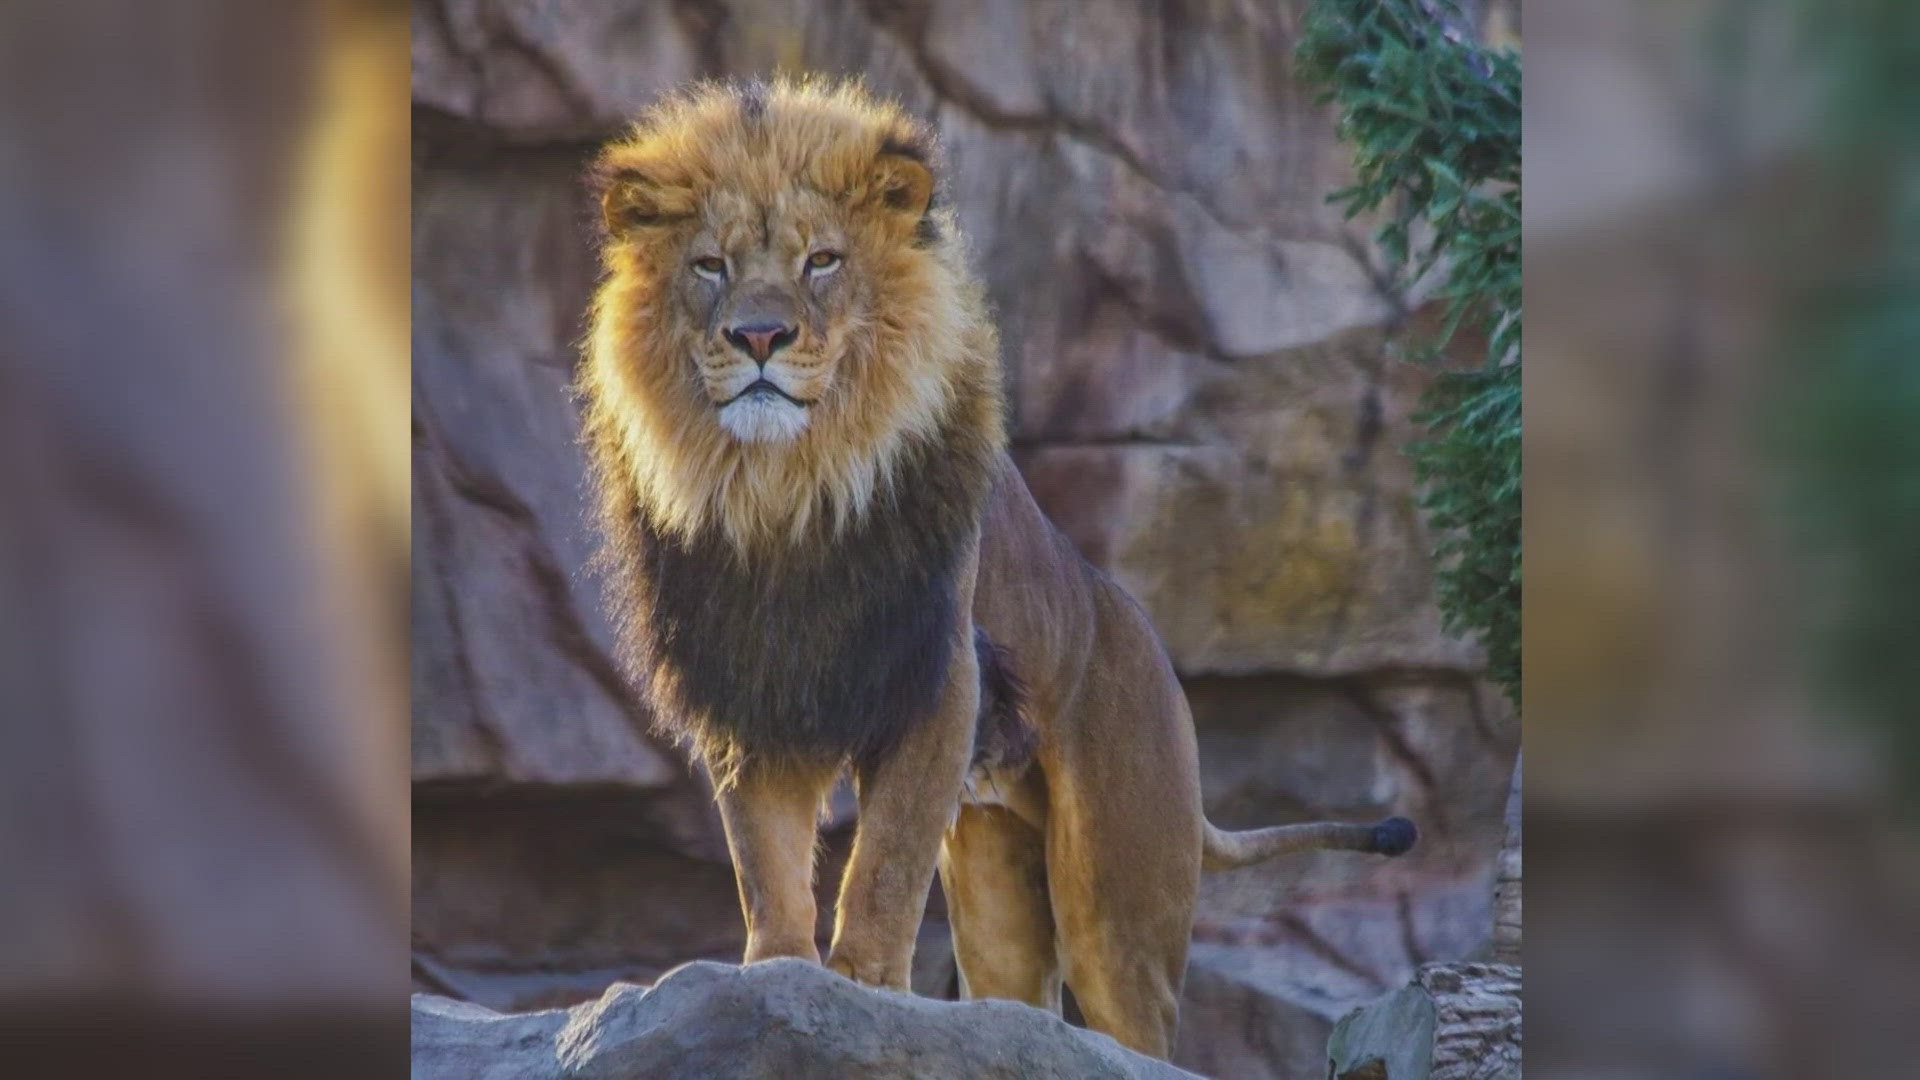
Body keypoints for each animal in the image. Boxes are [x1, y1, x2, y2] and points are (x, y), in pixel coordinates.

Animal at [572, 77, 1413, 1060]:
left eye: (822, 260)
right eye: (709, 265)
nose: (759, 337)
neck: (790, 492)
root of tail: (1148, 644)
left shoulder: (940, 674)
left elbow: (887, 857)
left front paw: (864, 987)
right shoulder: (754, 684)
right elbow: (765, 857)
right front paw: (774, 981)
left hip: (1117, 900)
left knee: (1133, 1024)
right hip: (1000, 884)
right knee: (1018, 996)